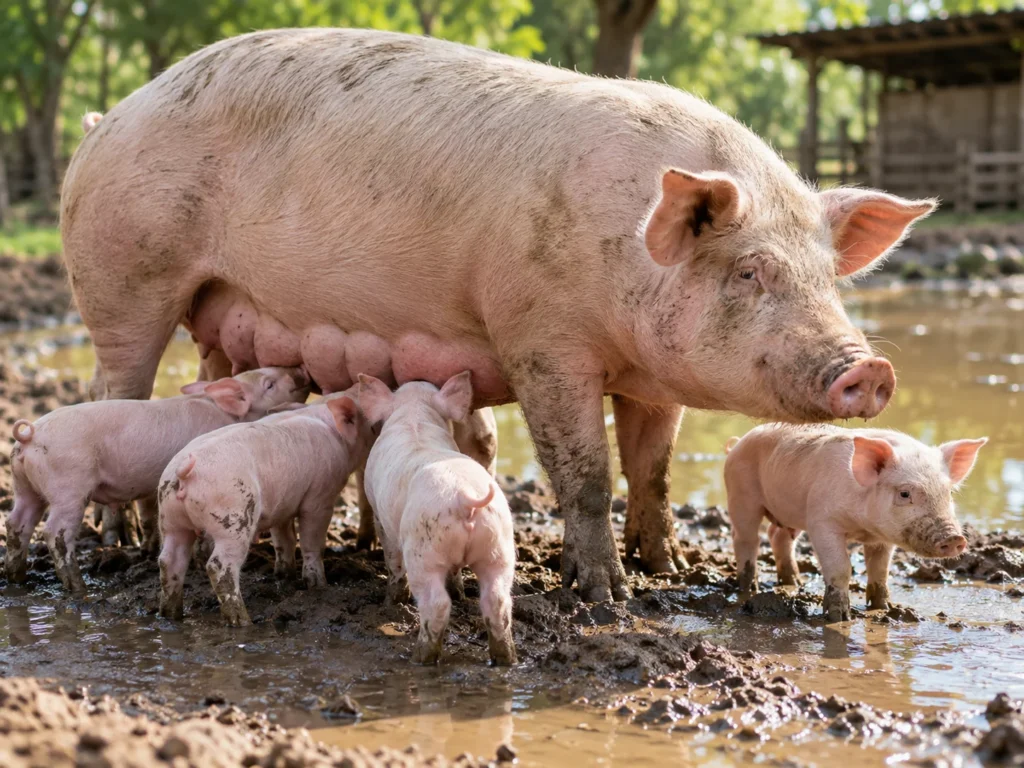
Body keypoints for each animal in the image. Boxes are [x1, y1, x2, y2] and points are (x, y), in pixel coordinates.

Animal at [5, 367, 309, 594]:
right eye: (269, 384)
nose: (299, 372)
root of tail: (29, 435)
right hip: (67, 486)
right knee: (55, 532)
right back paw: (78, 588)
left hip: (24, 484)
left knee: (16, 522)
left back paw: (16, 578)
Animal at [61, 29, 932, 602]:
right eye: (751, 271)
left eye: (828, 277)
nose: (868, 367)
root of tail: (107, 119)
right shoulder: (540, 337)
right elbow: (586, 472)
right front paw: (606, 596)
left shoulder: (651, 381)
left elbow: (651, 471)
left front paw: (669, 571)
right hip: (123, 279)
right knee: (116, 389)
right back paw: (120, 543)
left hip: (213, 318)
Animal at [156, 393, 371, 626]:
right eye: (367, 423)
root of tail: (184, 471)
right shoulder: (320, 498)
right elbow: (312, 541)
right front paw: (319, 585)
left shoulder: (283, 504)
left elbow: (284, 539)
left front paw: (285, 575)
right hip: (233, 519)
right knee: (219, 566)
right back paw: (243, 622)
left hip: (170, 518)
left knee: (168, 560)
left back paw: (170, 615)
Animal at [358, 372, 516, 666]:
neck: (415, 414)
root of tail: (466, 498)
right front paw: (458, 589)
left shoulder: (380, 515)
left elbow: (392, 558)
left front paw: (390, 601)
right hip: (498, 544)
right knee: (498, 601)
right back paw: (505, 659)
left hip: (424, 549)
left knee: (436, 604)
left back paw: (420, 658)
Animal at [724, 424, 986, 622]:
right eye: (904, 494)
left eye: (949, 493)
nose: (954, 537)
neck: (864, 528)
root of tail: (737, 443)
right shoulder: (821, 522)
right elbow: (841, 568)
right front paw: (840, 618)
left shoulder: (881, 539)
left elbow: (880, 571)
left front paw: (885, 608)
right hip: (741, 493)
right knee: (746, 539)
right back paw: (749, 588)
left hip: (789, 510)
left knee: (777, 535)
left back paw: (794, 582)